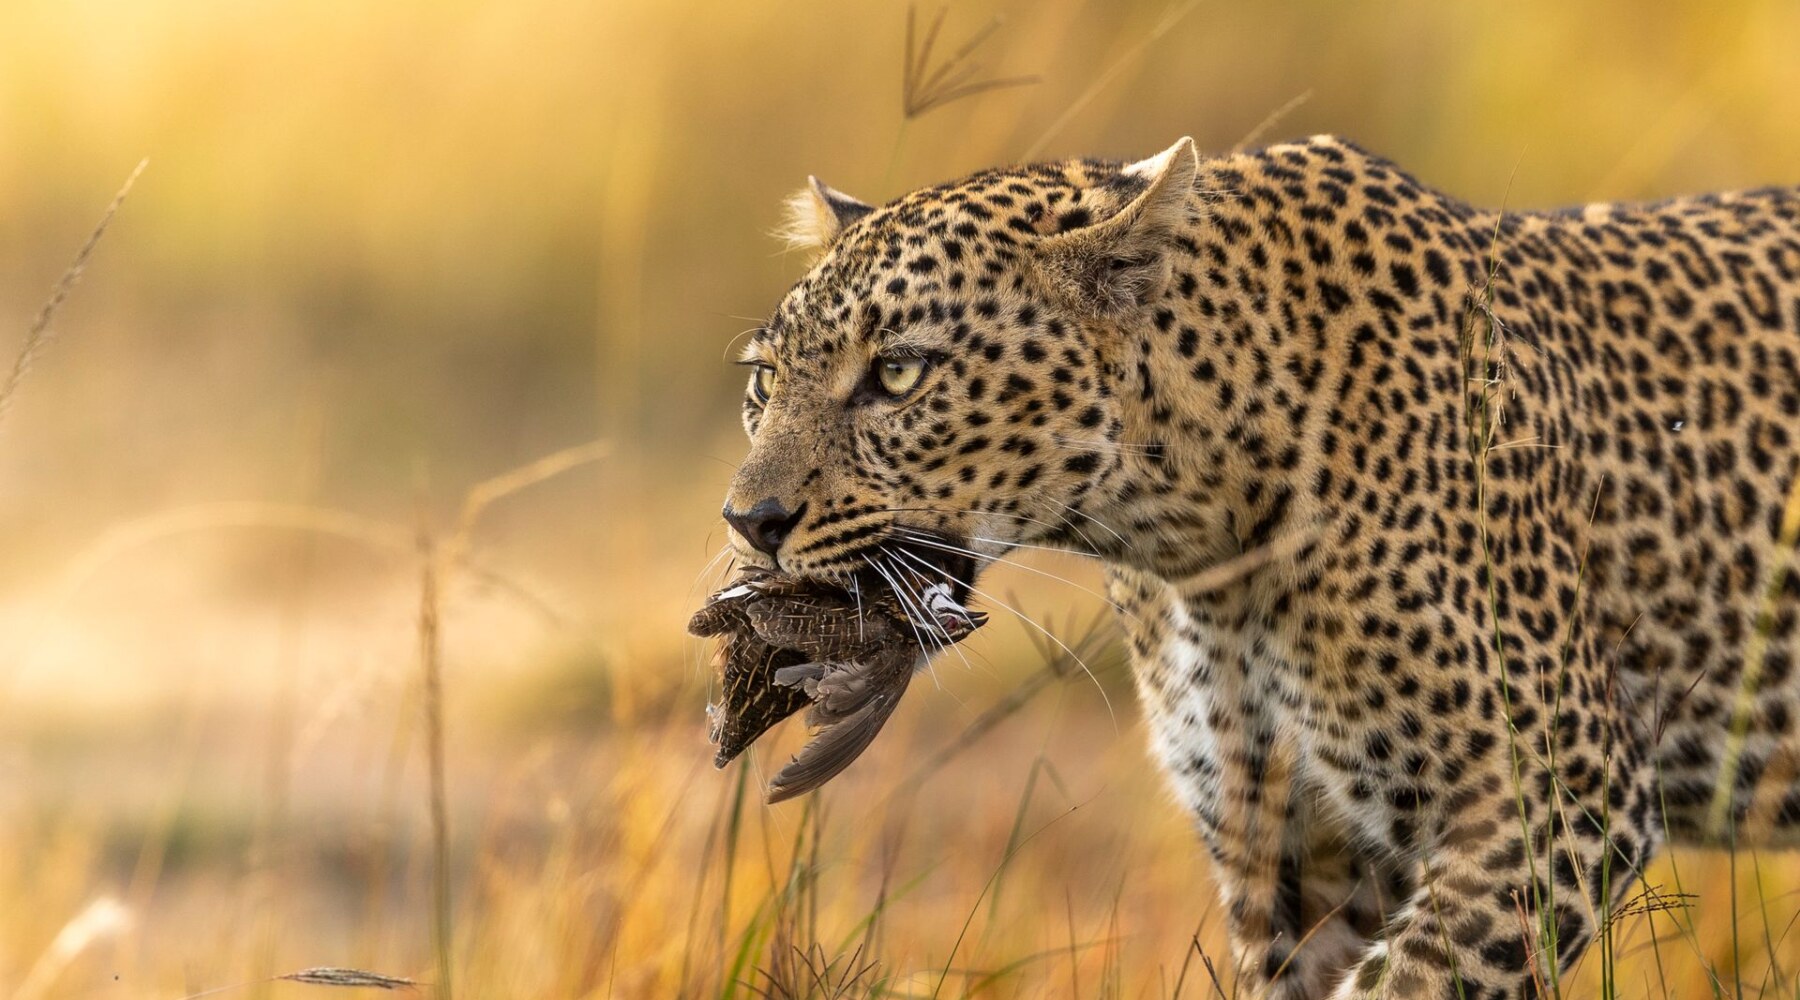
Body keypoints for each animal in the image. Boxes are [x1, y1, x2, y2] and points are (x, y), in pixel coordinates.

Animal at [714, 133, 1800, 998]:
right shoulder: (1284, 851)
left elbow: (1408, 985)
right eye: (764, 381)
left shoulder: (1558, 791)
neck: (1200, 544)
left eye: (899, 373)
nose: (749, 519)